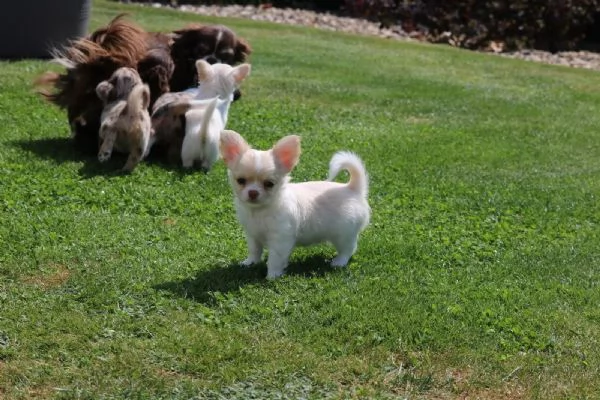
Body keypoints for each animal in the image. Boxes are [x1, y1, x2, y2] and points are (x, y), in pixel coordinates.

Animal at [220, 130, 370, 280]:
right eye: (241, 181)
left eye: (269, 184)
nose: (253, 192)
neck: (259, 211)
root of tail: (353, 189)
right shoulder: (252, 235)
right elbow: (254, 250)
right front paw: (250, 263)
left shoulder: (280, 239)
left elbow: (274, 259)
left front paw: (272, 276)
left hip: (343, 234)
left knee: (348, 249)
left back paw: (339, 262)